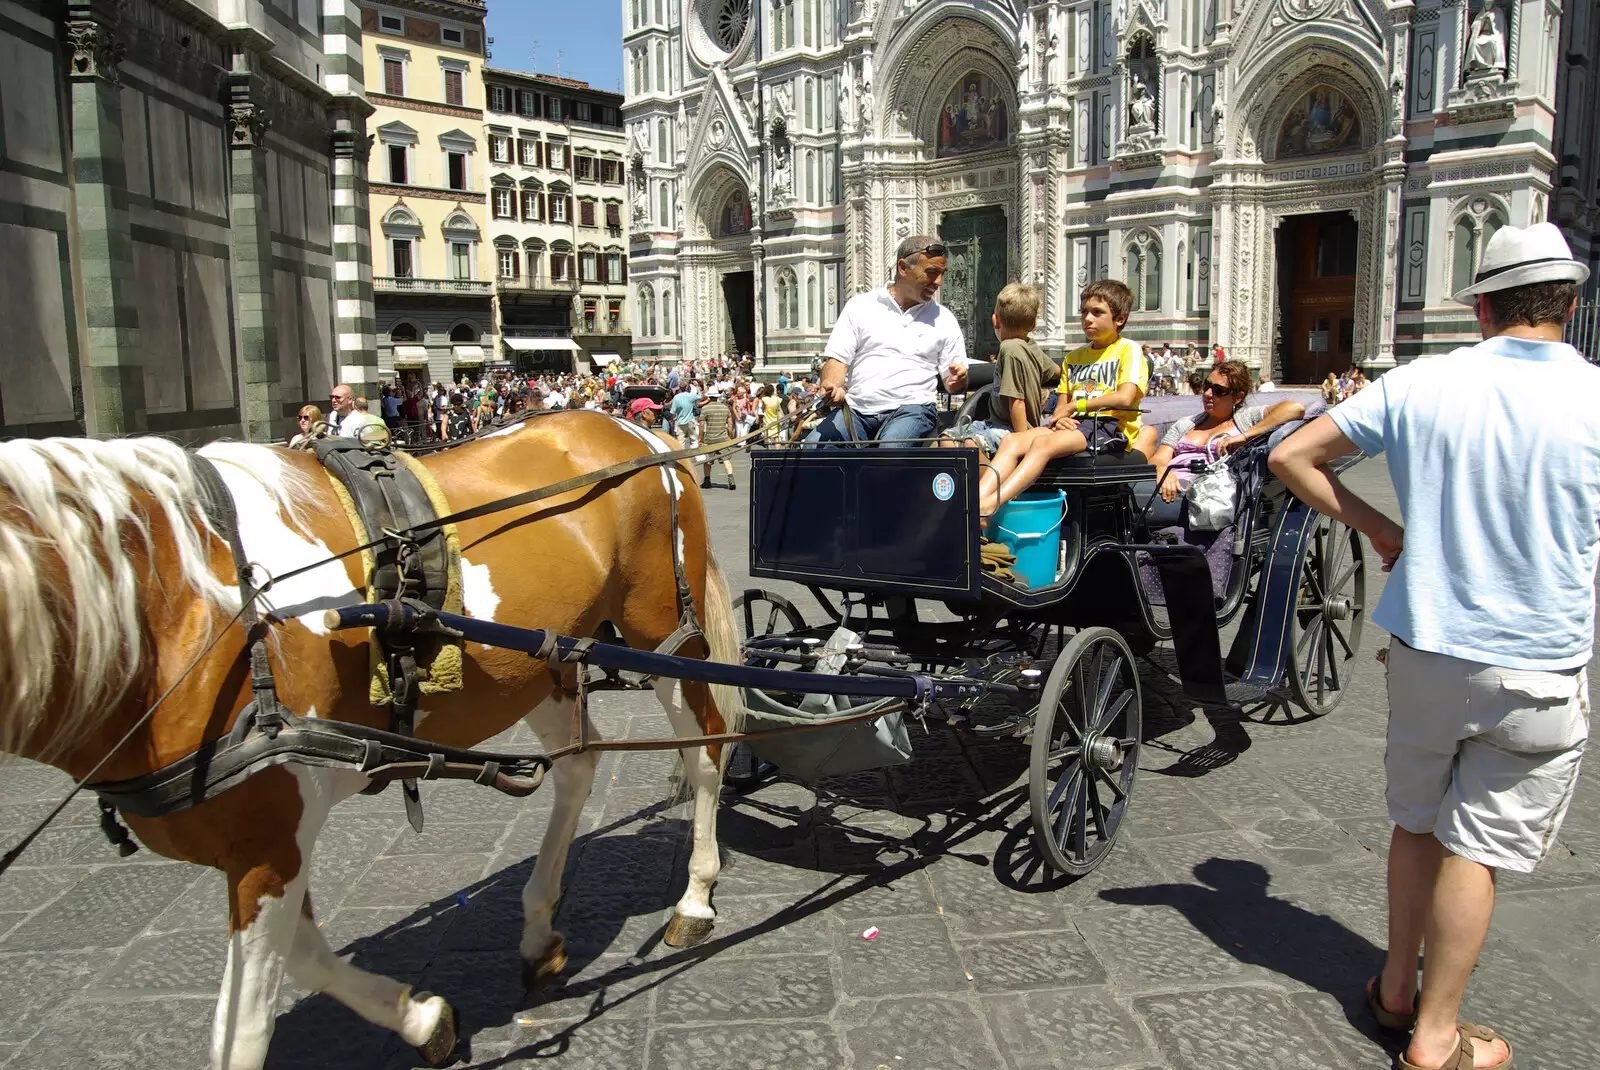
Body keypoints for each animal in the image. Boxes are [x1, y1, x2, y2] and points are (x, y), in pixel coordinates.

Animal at [0, 412, 742, 1068]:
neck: (182, 605)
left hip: (662, 635)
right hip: (542, 663)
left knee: (707, 750)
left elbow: (245, 1031)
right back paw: (538, 931)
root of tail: (642, 432)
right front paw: (426, 1020)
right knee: (577, 769)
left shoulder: (270, 832)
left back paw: (695, 898)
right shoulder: (265, 839)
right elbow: (303, 956)